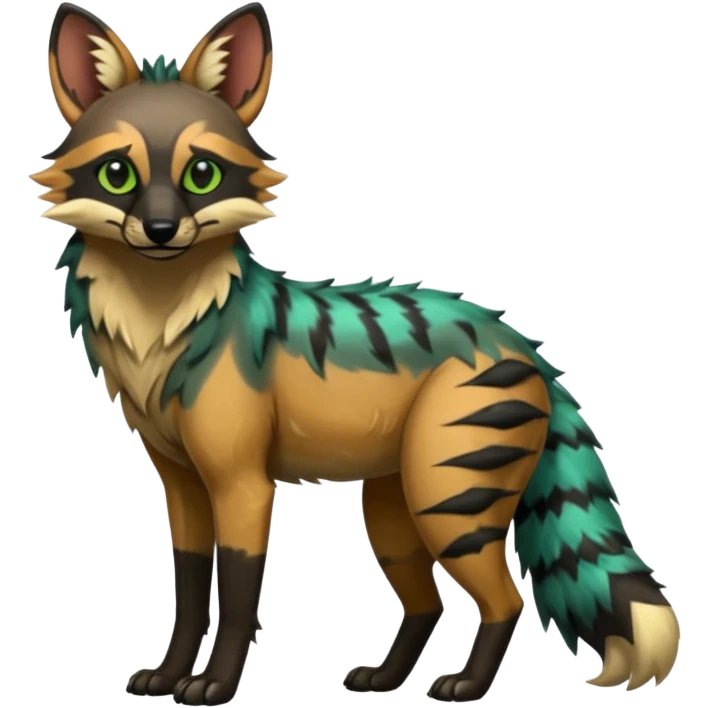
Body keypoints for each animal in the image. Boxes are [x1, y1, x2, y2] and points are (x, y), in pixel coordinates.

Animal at [35, 2, 680, 705]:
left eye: (200, 175)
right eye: (117, 174)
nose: (159, 231)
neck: (162, 332)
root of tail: (518, 340)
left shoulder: (242, 483)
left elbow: (236, 597)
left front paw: (216, 685)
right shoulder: (180, 482)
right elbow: (189, 591)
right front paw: (170, 674)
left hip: (448, 505)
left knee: (504, 601)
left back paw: (466, 686)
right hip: (395, 514)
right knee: (428, 604)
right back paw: (386, 679)